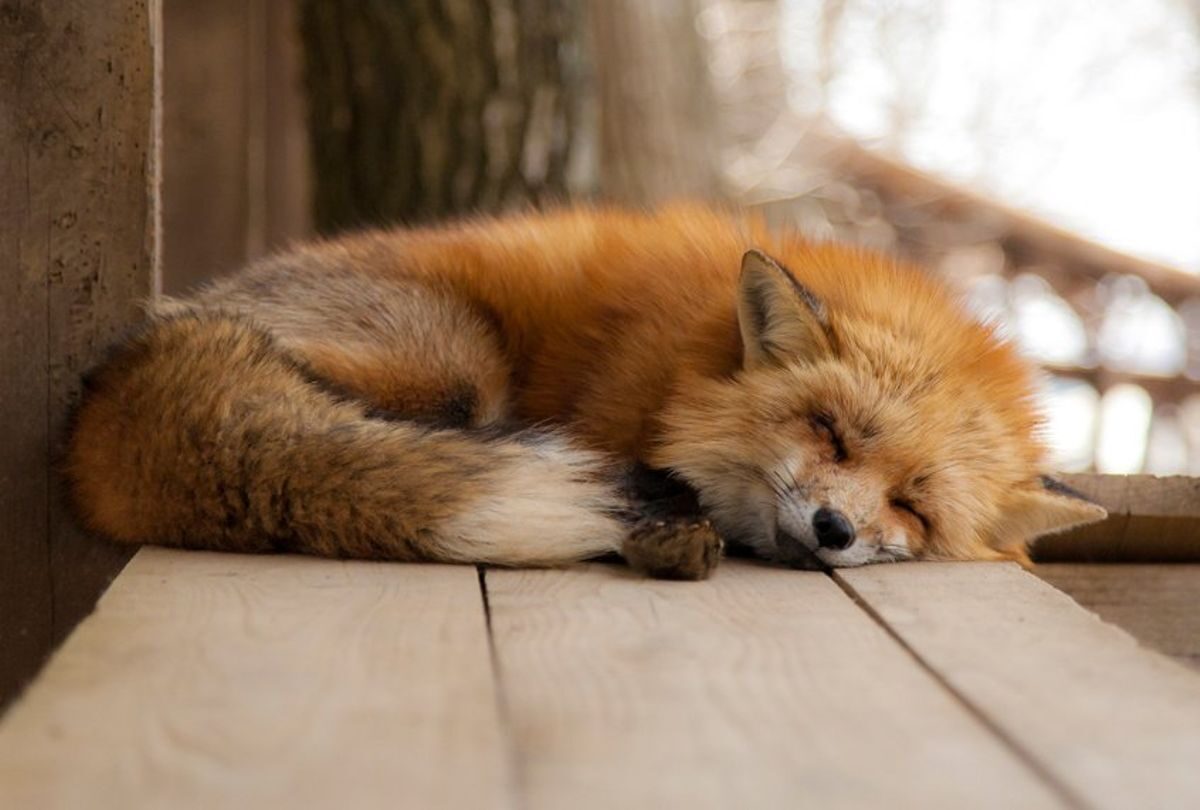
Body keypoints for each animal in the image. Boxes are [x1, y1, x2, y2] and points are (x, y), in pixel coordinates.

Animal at [64, 205, 1106, 579]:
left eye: (914, 506)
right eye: (830, 432)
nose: (834, 530)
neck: (675, 362)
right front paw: (665, 524)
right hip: (455, 364)